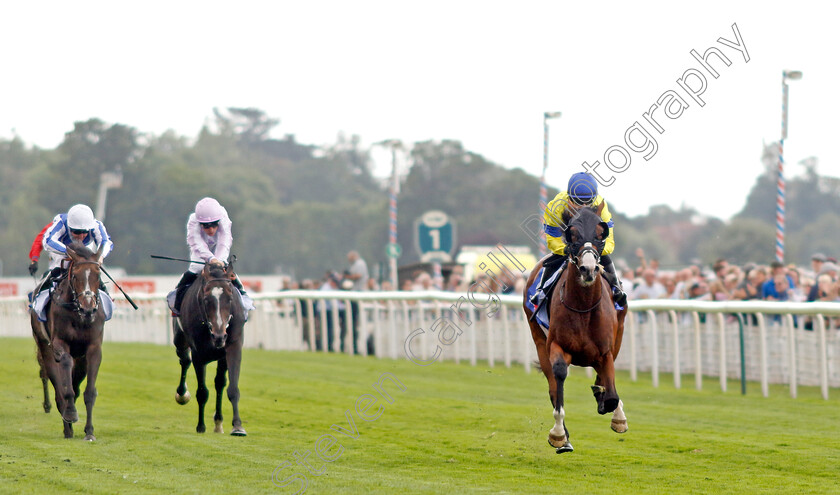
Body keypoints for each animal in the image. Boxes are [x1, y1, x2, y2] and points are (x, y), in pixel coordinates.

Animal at [30, 242, 106, 440]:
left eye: (97, 275)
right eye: (75, 275)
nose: (88, 308)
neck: (78, 315)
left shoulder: (93, 348)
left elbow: (89, 392)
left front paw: (89, 432)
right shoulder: (59, 343)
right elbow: (65, 377)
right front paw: (70, 413)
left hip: (80, 360)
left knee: (76, 383)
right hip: (44, 346)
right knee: (56, 384)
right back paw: (66, 424)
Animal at [172, 262, 246, 436]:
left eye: (230, 298)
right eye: (206, 300)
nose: (219, 336)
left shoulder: (232, 347)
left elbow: (232, 388)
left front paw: (237, 426)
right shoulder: (199, 354)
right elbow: (202, 392)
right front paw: (200, 426)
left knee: (219, 383)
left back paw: (218, 423)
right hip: (179, 340)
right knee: (185, 360)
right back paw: (182, 394)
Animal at [520, 205, 628, 454]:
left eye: (600, 233)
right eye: (573, 234)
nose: (588, 269)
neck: (584, 307)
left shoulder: (606, 350)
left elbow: (611, 395)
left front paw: (613, 411)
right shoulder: (556, 345)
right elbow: (559, 376)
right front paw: (559, 435)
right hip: (538, 337)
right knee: (552, 384)